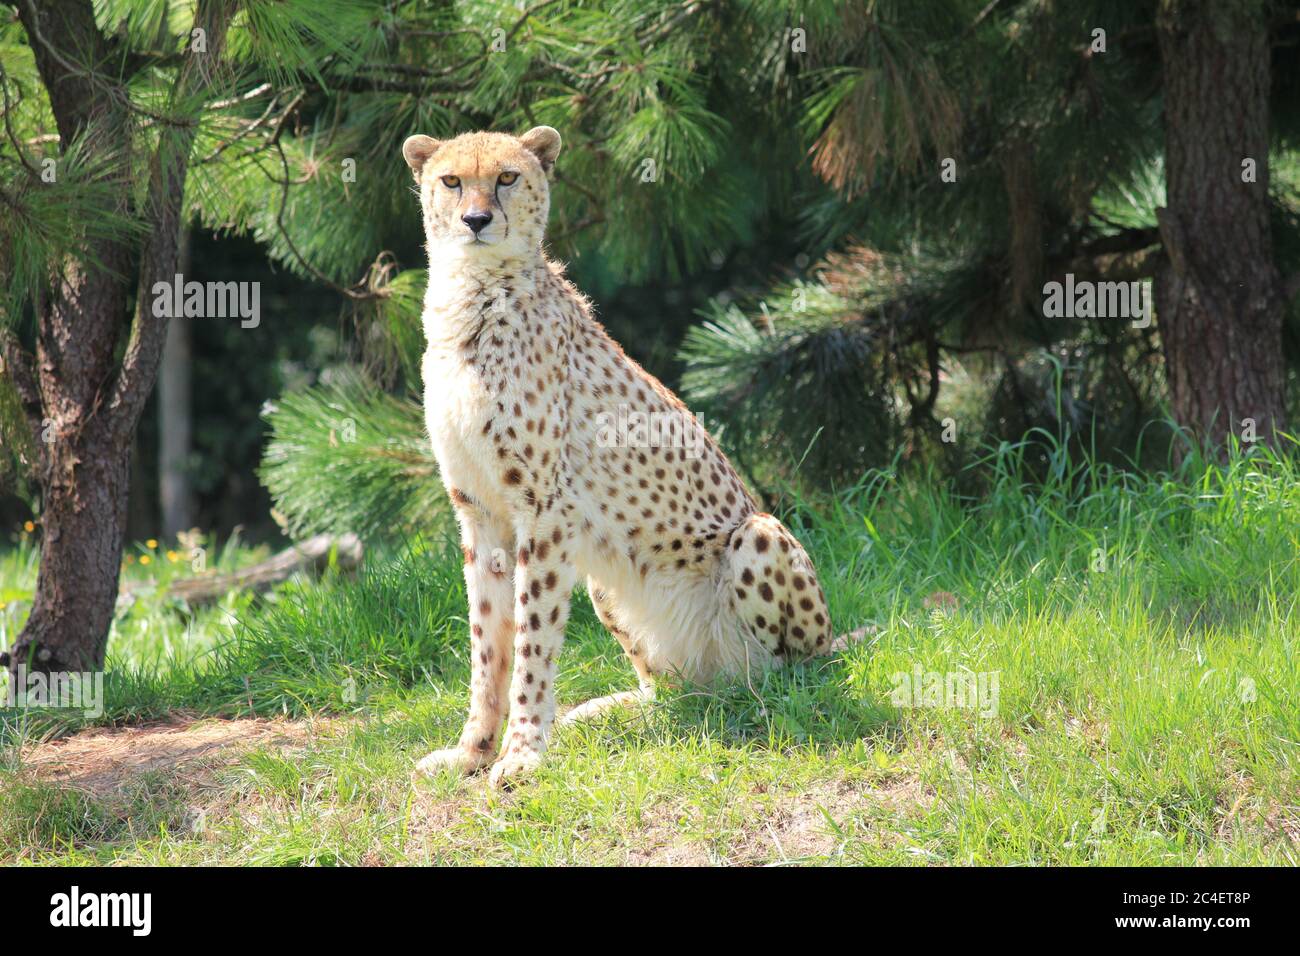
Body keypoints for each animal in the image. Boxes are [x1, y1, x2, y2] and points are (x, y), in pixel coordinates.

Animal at [400, 125, 837, 785]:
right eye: (451, 181)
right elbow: (488, 644)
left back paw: (764, 699)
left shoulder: (544, 513)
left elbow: (531, 639)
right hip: (608, 581)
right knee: (676, 690)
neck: (472, 297)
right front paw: (472, 750)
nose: (477, 220)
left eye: (507, 177)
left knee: (784, 676)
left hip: (758, 536)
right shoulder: (479, 511)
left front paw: (522, 753)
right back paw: (613, 710)